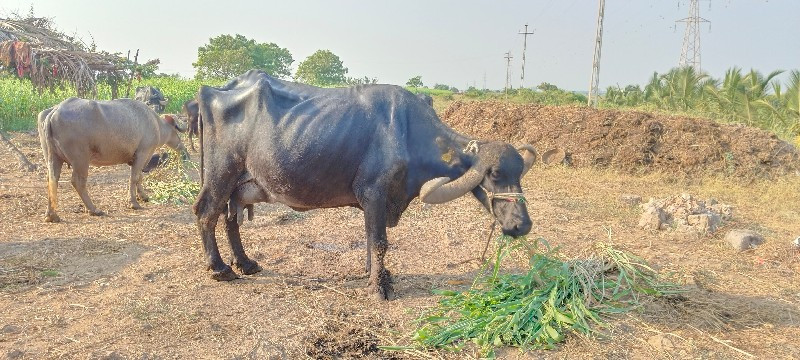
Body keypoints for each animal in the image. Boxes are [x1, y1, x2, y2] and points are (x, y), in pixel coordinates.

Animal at [191, 69, 536, 300]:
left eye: (519, 173)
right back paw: (220, 268)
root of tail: (211, 92)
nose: (522, 225)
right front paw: (379, 286)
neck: (407, 132)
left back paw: (246, 263)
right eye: (495, 174)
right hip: (221, 173)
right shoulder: (375, 193)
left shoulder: (375, 203)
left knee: (230, 219)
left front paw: (376, 275)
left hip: (238, 184)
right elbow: (380, 241)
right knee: (206, 213)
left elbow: (370, 238)